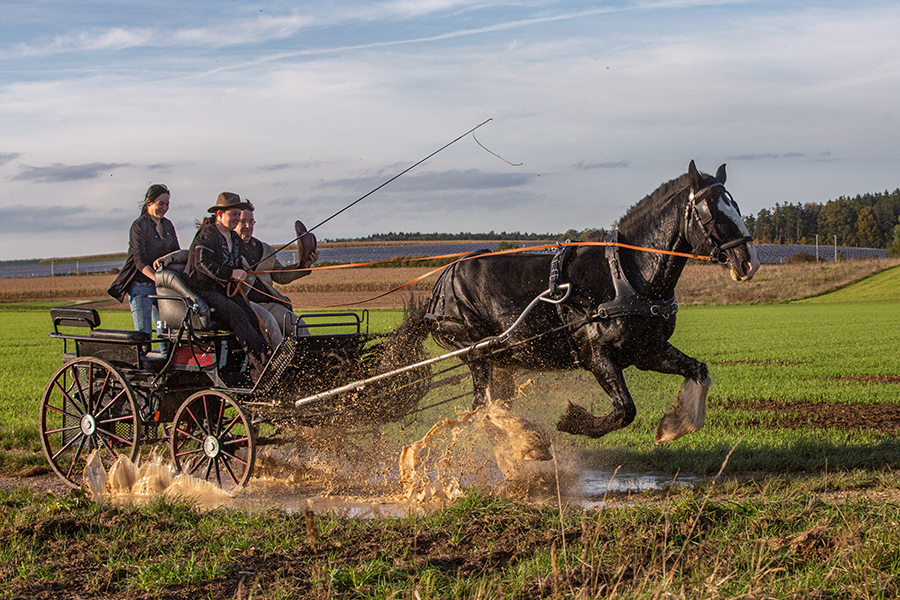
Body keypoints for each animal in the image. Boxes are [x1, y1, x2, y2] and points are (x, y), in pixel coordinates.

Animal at [418, 162, 756, 442]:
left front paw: (674, 426)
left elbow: (698, 370)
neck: (626, 275)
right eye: (711, 211)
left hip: (502, 360)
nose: (749, 261)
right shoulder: (596, 355)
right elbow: (625, 410)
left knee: (492, 405)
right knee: (481, 406)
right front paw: (574, 421)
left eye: (736, 205)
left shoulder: (649, 350)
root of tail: (440, 288)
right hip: (476, 354)